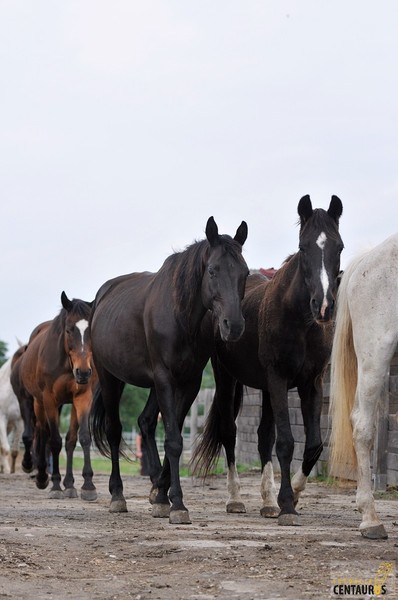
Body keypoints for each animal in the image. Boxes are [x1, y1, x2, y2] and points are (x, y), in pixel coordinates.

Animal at [12, 292, 97, 500]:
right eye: (68, 330)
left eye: (91, 330)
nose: (84, 372)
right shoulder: (49, 400)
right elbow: (54, 441)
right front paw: (56, 485)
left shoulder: (83, 397)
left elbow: (82, 437)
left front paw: (88, 485)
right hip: (37, 402)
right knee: (41, 433)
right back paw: (41, 475)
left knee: (69, 440)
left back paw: (69, 483)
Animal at [89, 218, 249, 524]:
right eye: (212, 270)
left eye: (245, 273)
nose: (233, 326)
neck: (181, 316)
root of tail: (101, 298)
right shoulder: (164, 378)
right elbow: (174, 440)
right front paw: (177, 504)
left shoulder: (189, 383)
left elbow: (173, 437)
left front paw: (162, 495)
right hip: (110, 377)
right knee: (114, 431)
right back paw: (117, 495)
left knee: (145, 422)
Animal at [192, 196, 342, 524]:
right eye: (303, 248)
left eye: (339, 247)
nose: (323, 306)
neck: (299, 320)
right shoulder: (278, 379)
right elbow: (285, 442)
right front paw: (286, 502)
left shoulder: (310, 383)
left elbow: (313, 445)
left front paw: (292, 495)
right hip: (227, 377)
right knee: (229, 432)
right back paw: (236, 499)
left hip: (265, 388)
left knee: (263, 436)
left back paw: (267, 502)